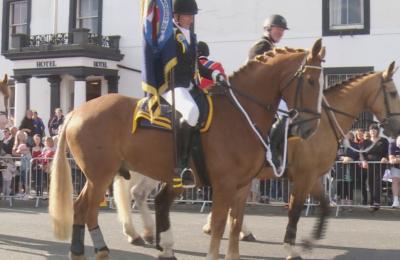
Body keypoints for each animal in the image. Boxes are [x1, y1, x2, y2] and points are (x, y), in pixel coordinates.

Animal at [49, 39, 324, 260]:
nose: (310, 128)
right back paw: (95, 250)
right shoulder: (224, 185)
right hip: (100, 175)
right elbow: (219, 225)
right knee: (85, 209)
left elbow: (235, 225)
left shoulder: (243, 186)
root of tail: (77, 111)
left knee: (94, 208)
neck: (239, 113)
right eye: (310, 81)